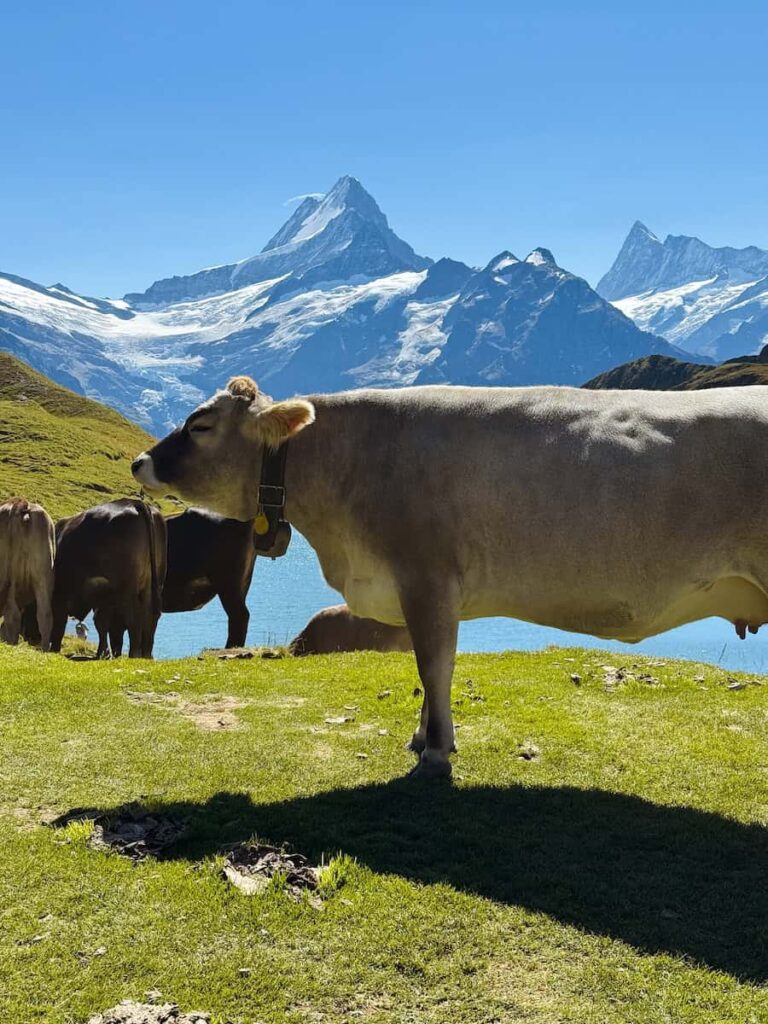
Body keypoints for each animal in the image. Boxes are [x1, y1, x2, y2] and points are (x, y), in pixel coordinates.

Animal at [0, 498, 55, 650]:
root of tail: (22, 504)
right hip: (43, 573)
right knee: (45, 614)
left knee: (12, 615)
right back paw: (44, 649)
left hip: (11, 574)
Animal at [50, 499, 166, 659]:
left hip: (128, 588)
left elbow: (60, 622)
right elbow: (101, 623)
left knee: (134, 616)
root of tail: (133, 503)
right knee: (150, 615)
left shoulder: (61, 594)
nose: (117, 651)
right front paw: (103, 653)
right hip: (153, 585)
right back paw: (146, 655)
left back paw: (134, 654)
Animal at [132, 376, 768, 777]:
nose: (140, 461)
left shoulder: (427, 576)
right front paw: (423, 738)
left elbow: (433, 666)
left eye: (201, 425)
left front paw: (436, 751)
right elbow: (430, 665)